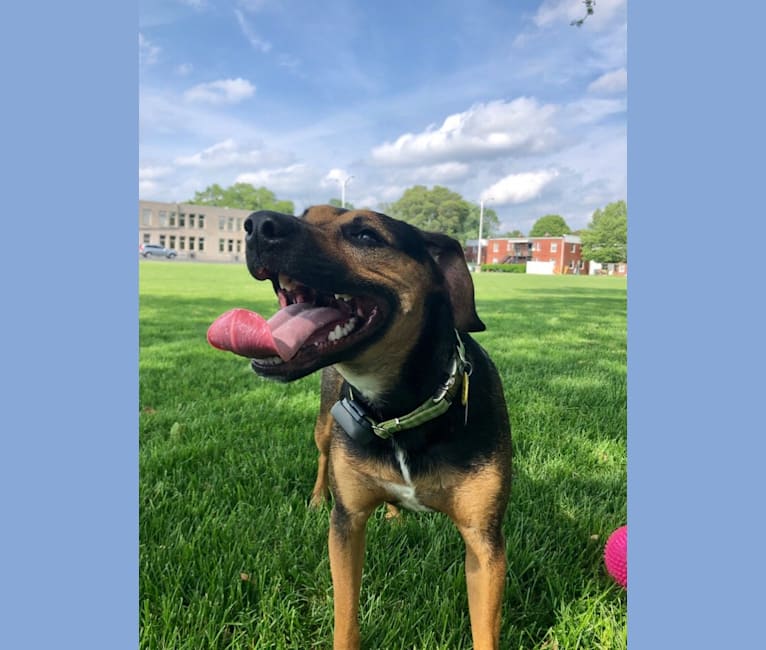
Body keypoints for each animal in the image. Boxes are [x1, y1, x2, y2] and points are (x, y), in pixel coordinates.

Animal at [207, 205, 512, 644]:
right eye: (307, 214)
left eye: (366, 235)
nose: (257, 224)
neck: (400, 412)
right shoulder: (346, 523)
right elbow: (346, 616)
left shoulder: (485, 542)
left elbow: (485, 632)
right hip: (323, 428)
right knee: (321, 459)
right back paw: (319, 498)